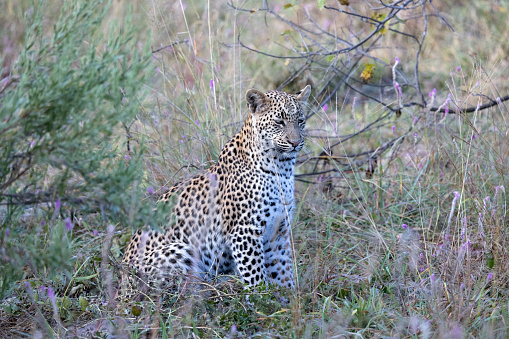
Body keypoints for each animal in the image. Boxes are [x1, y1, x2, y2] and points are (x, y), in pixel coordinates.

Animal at [121, 85, 312, 294]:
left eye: (300, 121)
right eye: (279, 122)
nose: (296, 143)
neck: (282, 169)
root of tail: (122, 289)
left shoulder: (277, 234)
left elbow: (283, 274)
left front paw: (289, 299)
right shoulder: (244, 233)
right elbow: (256, 279)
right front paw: (261, 300)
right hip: (180, 250)